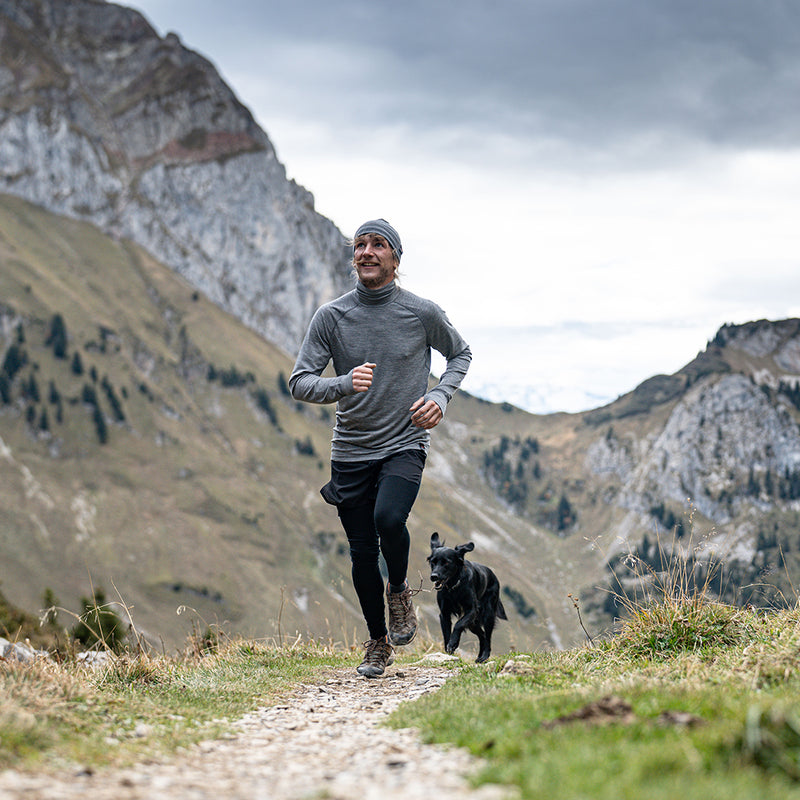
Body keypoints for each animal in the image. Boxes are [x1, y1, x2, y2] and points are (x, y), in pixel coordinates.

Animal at [424, 532, 506, 664]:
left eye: (446, 562)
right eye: (433, 561)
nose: (434, 576)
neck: (453, 587)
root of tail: (493, 575)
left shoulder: (471, 610)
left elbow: (458, 625)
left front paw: (453, 643)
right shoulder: (444, 614)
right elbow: (446, 634)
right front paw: (449, 652)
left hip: (487, 615)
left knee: (487, 637)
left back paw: (484, 656)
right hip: (473, 623)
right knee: (482, 635)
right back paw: (479, 656)